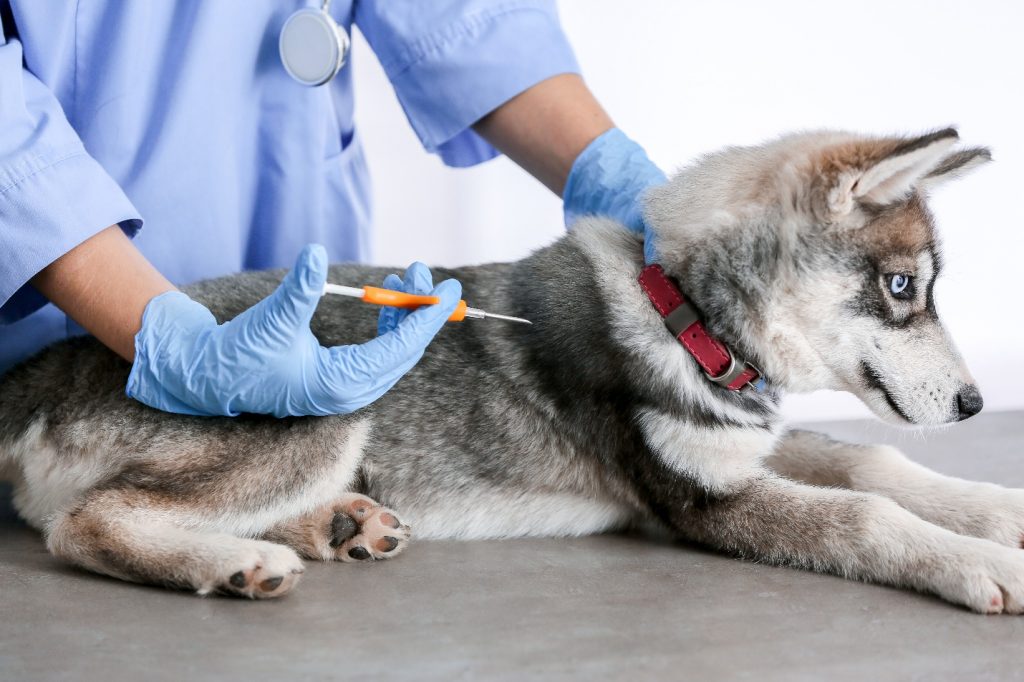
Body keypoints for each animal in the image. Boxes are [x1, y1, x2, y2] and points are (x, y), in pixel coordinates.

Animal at [2, 127, 1024, 610]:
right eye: (902, 287)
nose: (976, 403)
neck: (685, 315)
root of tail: (47, 364)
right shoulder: (707, 498)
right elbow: (867, 514)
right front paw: (978, 563)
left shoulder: (748, 448)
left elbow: (874, 462)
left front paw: (998, 512)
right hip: (330, 407)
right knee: (84, 523)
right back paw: (236, 561)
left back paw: (337, 525)